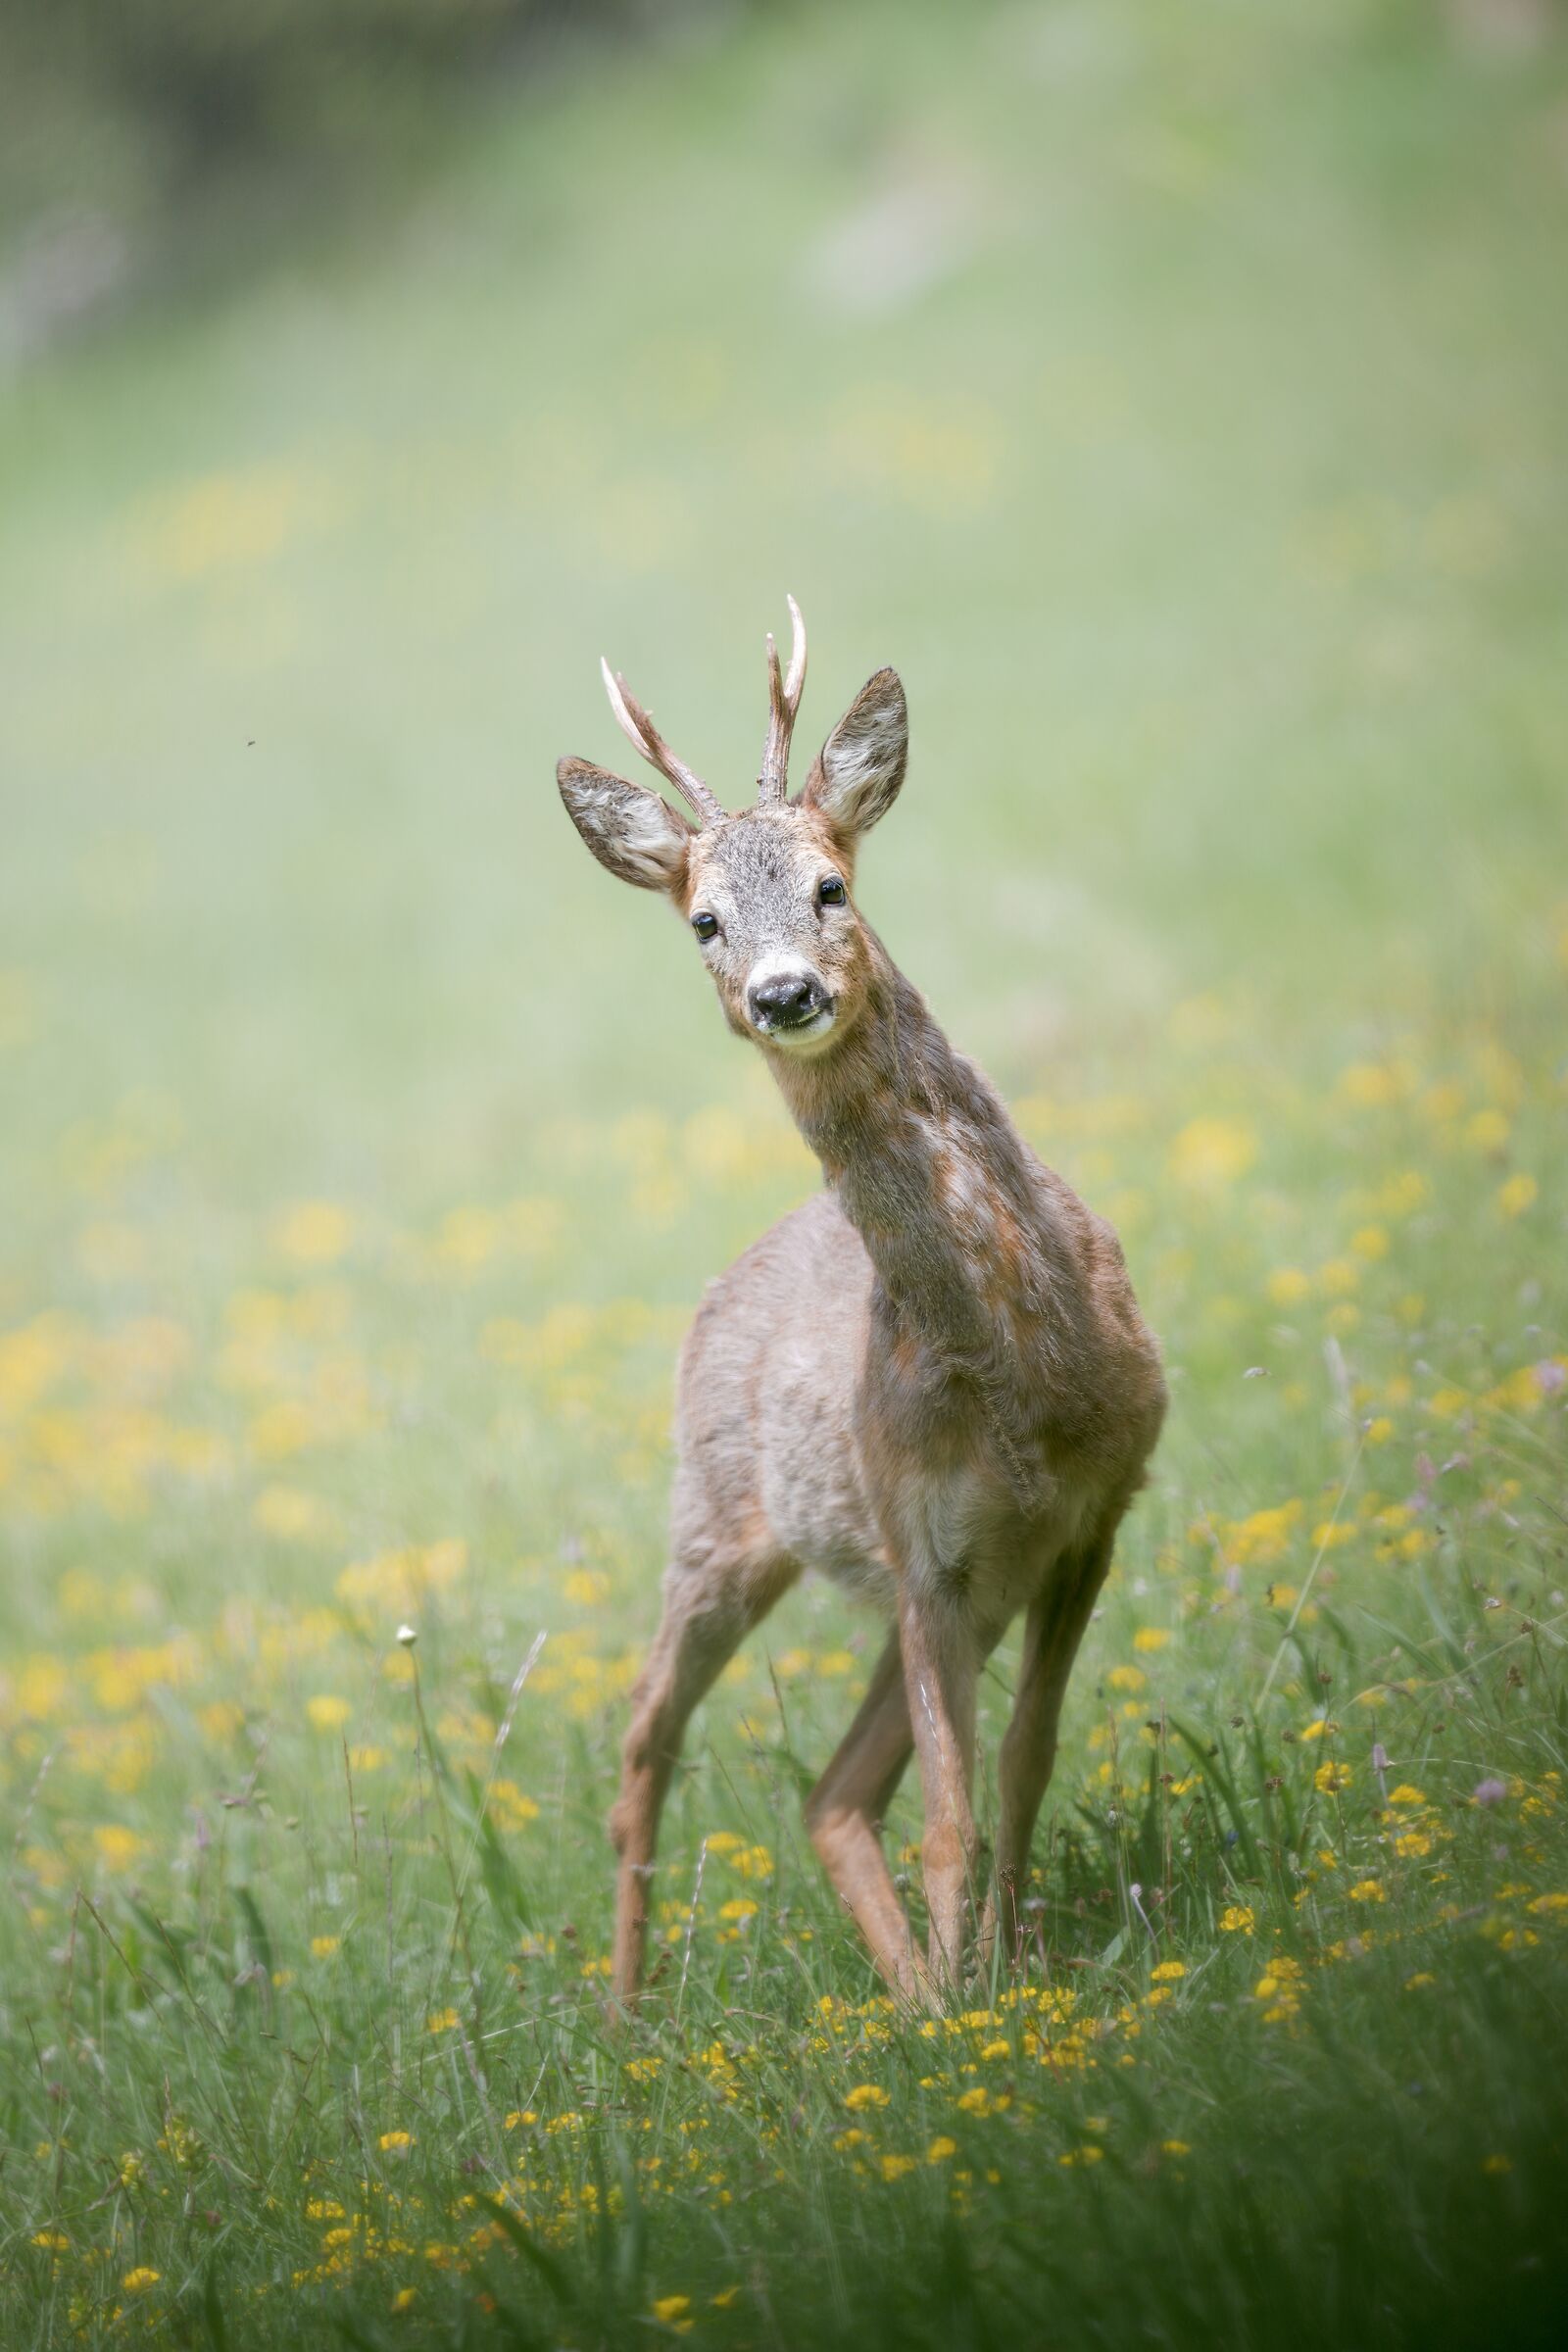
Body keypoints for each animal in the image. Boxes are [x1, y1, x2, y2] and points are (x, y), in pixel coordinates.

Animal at [555, 601, 1166, 2009]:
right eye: (704, 921)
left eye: (832, 886)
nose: (785, 993)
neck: (1024, 1380)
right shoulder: (924, 1544)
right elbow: (947, 1808)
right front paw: (984, 1999)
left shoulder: (1086, 1517)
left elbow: (1021, 1763)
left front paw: (1011, 1970)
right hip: (720, 1523)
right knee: (646, 1740)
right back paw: (630, 2008)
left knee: (832, 1793)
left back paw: (916, 1994)